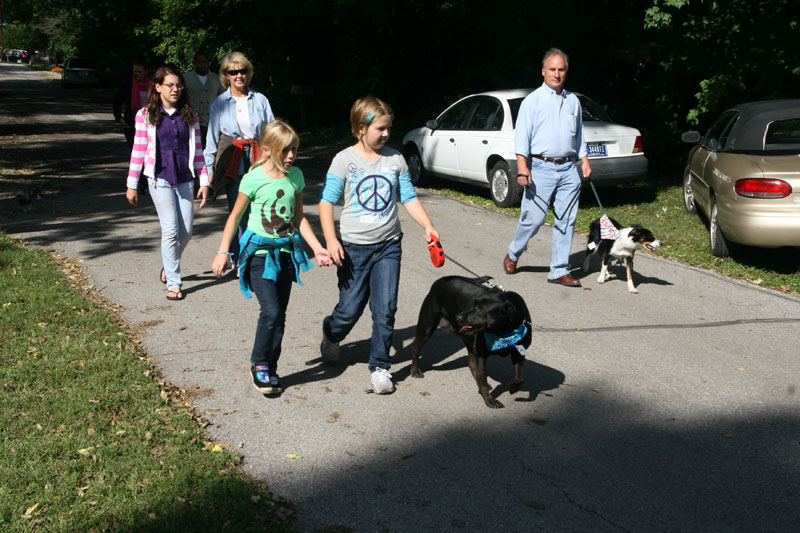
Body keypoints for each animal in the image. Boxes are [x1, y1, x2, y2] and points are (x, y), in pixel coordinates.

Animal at [412, 274, 532, 408]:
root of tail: (443, 278)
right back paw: (415, 370)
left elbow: (520, 378)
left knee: (471, 364)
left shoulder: (518, 353)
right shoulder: (481, 354)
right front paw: (489, 401)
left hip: (469, 340)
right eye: (473, 304)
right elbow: (483, 379)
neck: (503, 333)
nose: (458, 317)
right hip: (427, 325)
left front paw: (513, 388)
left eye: (481, 309)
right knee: (416, 347)